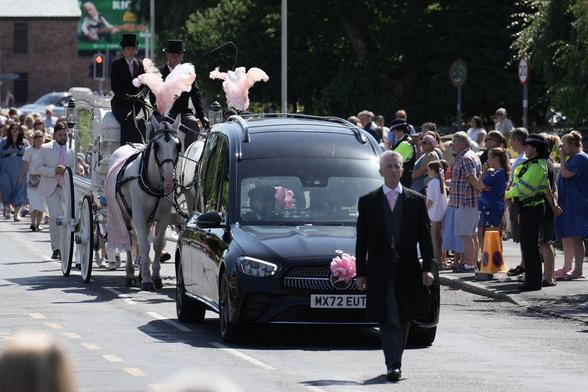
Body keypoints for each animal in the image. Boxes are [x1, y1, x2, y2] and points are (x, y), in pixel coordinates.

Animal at [107, 116, 183, 290]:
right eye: (157, 145)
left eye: (178, 145)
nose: (168, 179)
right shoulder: (139, 215)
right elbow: (144, 245)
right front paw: (147, 279)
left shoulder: (164, 217)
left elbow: (157, 244)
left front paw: (155, 276)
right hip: (125, 215)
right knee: (130, 240)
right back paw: (130, 274)